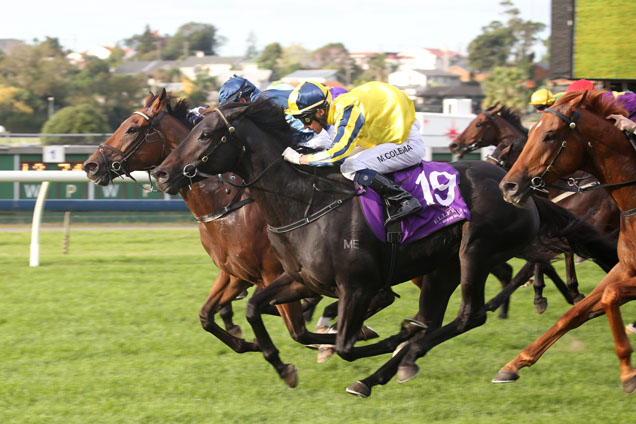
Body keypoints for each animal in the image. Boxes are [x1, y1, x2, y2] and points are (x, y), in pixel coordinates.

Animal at [149, 97, 616, 396]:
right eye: (193, 130)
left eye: (207, 135)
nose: (163, 173)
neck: (306, 203)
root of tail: (515, 185)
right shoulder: (300, 280)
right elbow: (258, 311)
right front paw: (282, 365)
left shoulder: (355, 286)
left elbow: (345, 344)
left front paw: (383, 339)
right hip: (442, 266)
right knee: (442, 315)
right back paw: (393, 364)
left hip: (474, 252)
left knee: (469, 314)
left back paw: (396, 359)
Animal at [496, 89, 636, 394]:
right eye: (532, 132)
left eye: (549, 134)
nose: (508, 186)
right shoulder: (625, 268)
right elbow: (575, 313)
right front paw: (513, 365)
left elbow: (608, 297)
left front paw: (628, 373)